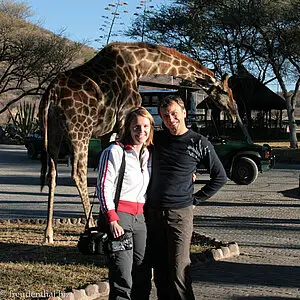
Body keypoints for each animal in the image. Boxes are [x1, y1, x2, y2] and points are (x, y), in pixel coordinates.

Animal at [38, 41, 238, 243]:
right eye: (225, 92)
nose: (234, 112)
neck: (139, 66)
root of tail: (51, 95)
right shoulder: (123, 120)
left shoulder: (107, 130)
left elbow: (107, 169)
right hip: (80, 129)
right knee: (78, 173)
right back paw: (89, 226)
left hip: (54, 133)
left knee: (52, 173)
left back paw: (48, 233)